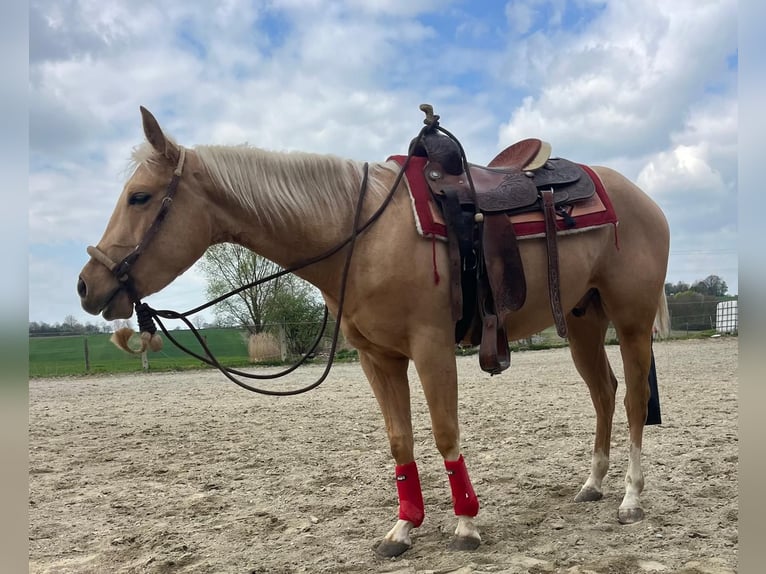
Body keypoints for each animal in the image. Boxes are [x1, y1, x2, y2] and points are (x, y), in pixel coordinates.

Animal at [77, 106, 670, 556]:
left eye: (139, 197)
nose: (87, 284)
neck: (361, 235)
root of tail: (641, 196)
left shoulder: (431, 348)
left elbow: (445, 433)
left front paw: (466, 525)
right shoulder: (377, 358)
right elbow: (399, 439)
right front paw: (403, 528)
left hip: (632, 321)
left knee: (632, 400)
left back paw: (632, 498)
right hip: (583, 322)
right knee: (604, 394)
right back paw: (593, 485)